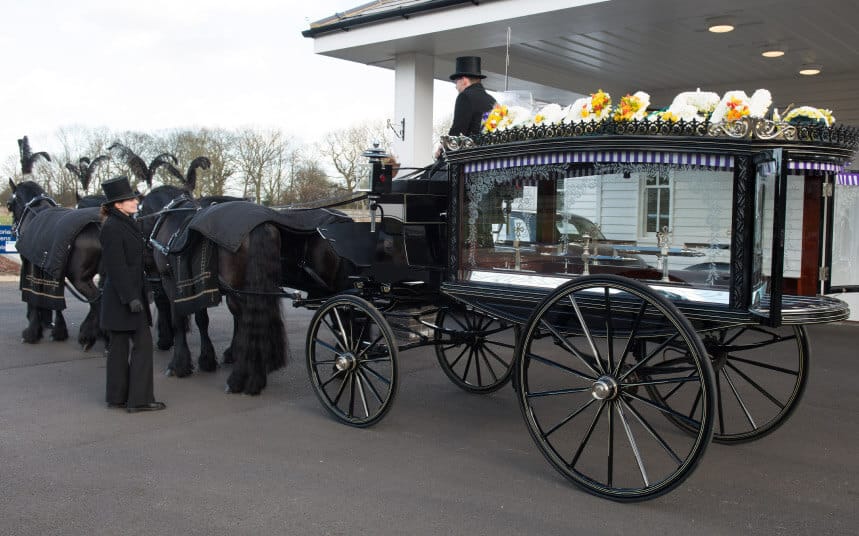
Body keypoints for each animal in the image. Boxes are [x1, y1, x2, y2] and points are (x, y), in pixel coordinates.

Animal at [6, 179, 102, 348]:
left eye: (9, 205)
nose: (12, 229)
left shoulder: (31, 264)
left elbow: (33, 297)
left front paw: (32, 331)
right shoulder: (51, 268)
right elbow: (54, 299)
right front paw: (57, 329)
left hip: (80, 279)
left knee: (97, 301)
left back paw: (89, 336)